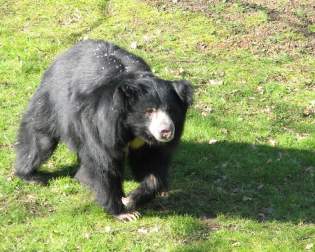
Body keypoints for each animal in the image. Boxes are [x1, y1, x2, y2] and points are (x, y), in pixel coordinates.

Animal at [16, 39, 194, 220]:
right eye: (149, 111)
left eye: (171, 110)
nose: (166, 131)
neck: (134, 129)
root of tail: (64, 54)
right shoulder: (102, 124)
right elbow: (103, 162)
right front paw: (124, 213)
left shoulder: (147, 144)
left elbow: (152, 164)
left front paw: (132, 199)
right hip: (51, 102)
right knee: (39, 139)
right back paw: (30, 175)